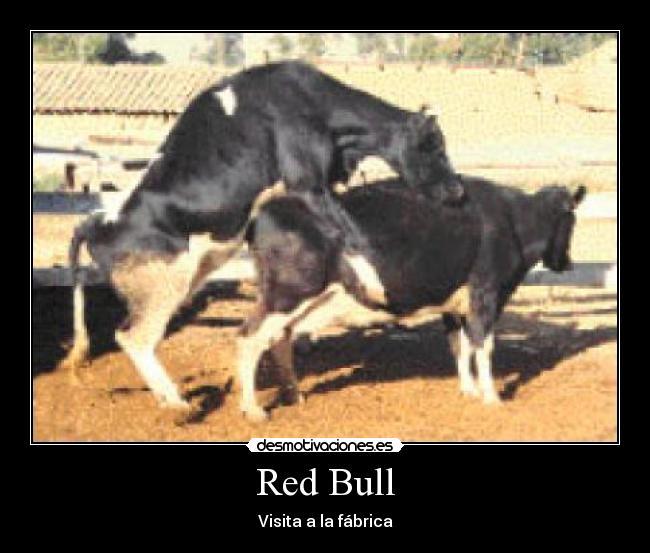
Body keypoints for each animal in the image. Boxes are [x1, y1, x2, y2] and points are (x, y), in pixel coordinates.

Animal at [60, 61, 461, 410]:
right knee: (135, 337)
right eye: (434, 147)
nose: (458, 191)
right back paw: (178, 404)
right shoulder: (306, 182)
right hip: (162, 287)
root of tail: (99, 220)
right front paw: (371, 282)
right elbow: (346, 230)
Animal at [238, 177, 587, 421]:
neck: (511, 220)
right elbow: (483, 346)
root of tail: (267, 209)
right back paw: (253, 409)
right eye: (570, 220)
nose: (566, 263)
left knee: (279, 338)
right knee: (249, 337)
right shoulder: (486, 295)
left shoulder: (453, 303)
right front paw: (491, 397)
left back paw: (293, 395)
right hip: (287, 294)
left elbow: (460, 346)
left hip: (302, 299)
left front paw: (468, 390)